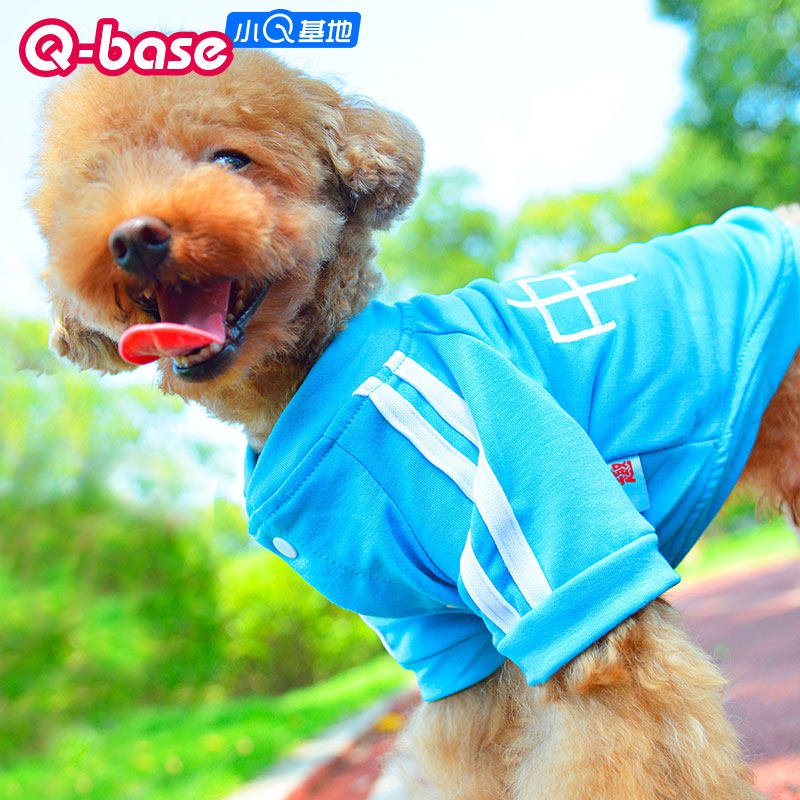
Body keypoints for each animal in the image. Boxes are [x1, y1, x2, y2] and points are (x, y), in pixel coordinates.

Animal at [31, 50, 800, 799]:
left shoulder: (568, 587)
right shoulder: (445, 641)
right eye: (97, 182)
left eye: (230, 159)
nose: (134, 238)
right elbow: (459, 760)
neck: (319, 382)